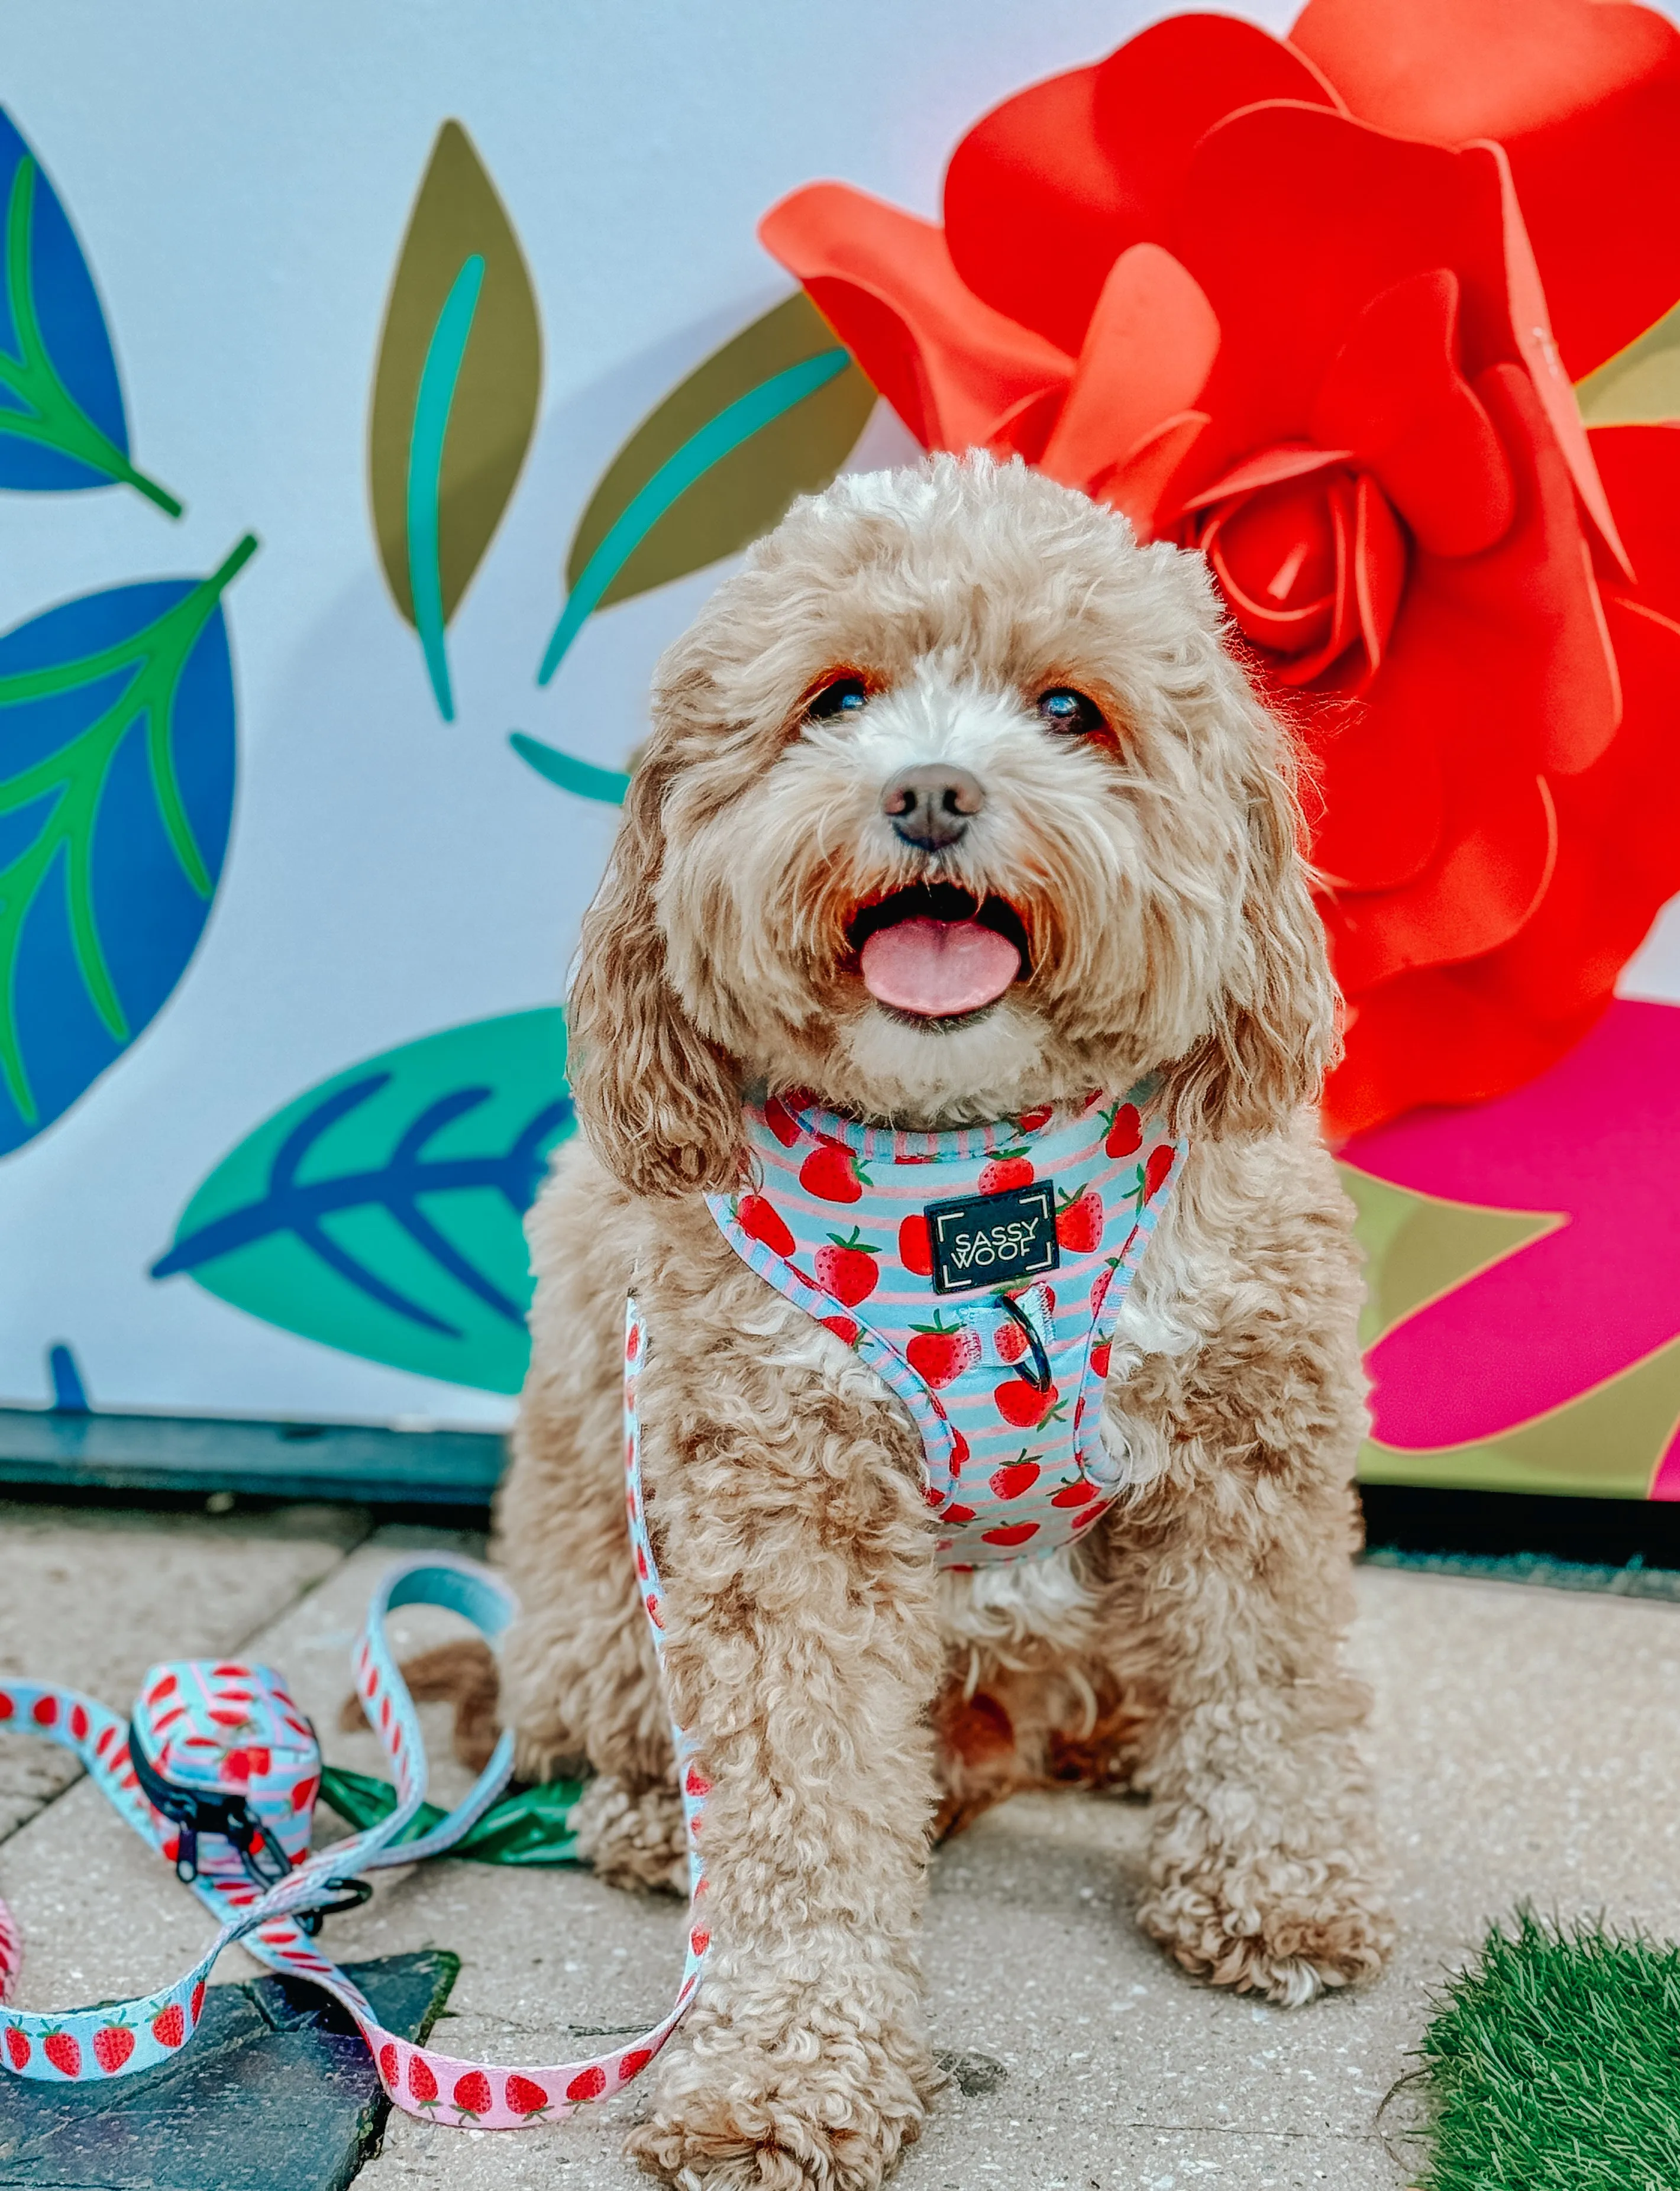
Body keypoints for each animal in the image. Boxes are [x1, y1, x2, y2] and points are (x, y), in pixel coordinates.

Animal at [499, 453, 1393, 2182]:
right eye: (834, 700)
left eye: (1069, 709)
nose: (927, 793)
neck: (976, 1176)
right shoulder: (782, 1522)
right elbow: (794, 1824)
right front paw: (780, 2074)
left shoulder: (1248, 1450)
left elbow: (1264, 1695)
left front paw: (1275, 1896)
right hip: (594, 1589)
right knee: (632, 1741)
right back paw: (655, 1823)